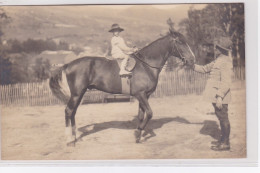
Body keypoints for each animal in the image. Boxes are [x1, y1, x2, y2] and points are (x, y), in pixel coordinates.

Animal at [48, 28, 195, 146]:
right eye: (180, 42)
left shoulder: (144, 95)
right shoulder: (140, 94)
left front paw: (138, 135)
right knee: (68, 111)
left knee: (73, 112)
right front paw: (138, 133)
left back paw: (76, 137)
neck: (146, 65)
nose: (192, 59)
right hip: (77, 94)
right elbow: (149, 113)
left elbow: (141, 115)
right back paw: (69, 140)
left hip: (80, 94)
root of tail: (67, 65)